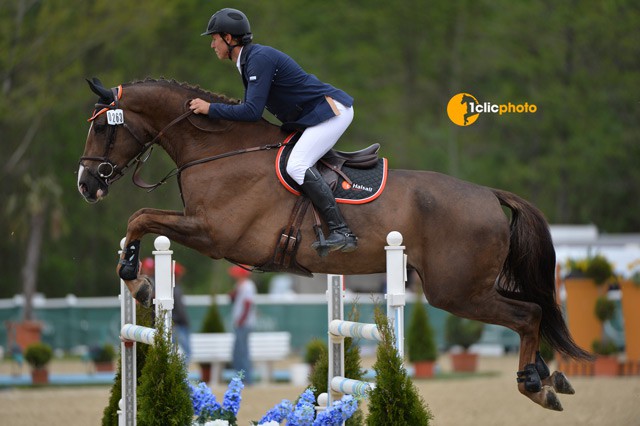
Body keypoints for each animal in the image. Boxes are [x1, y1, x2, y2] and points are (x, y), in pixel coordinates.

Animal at [79, 78, 592, 412]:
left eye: (103, 128)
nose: (87, 185)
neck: (218, 150)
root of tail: (489, 194)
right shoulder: (205, 230)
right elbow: (140, 219)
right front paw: (137, 279)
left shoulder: (214, 235)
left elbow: (141, 217)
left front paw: (138, 282)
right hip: (468, 287)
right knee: (532, 312)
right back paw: (549, 376)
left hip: (457, 291)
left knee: (528, 314)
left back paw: (534, 385)